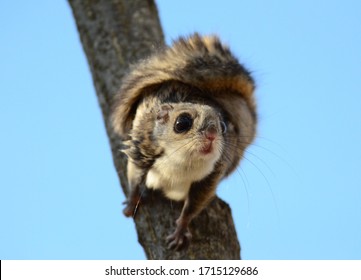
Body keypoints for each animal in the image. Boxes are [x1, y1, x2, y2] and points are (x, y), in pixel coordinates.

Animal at [111, 34, 255, 250]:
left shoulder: (212, 175)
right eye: (182, 123)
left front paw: (180, 230)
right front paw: (132, 201)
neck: (183, 161)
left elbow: (193, 205)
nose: (212, 135)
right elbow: (135, 176)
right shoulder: (142, 147)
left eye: (223, 126)